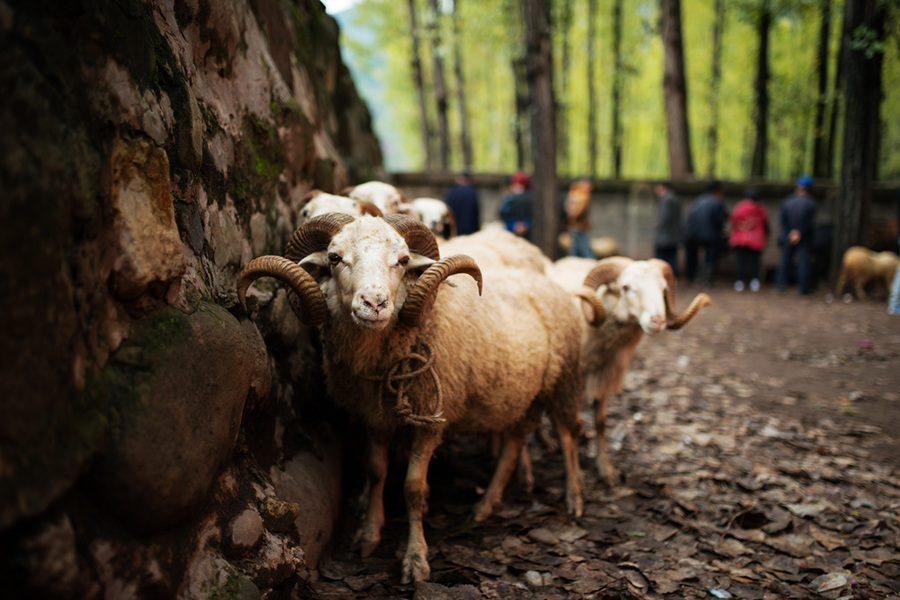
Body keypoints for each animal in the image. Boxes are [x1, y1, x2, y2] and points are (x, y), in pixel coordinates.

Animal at [239, 213, 592, 584]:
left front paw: (415, 558)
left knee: (568, 437)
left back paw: (573, 499)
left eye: (404, 260)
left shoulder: (430, 422)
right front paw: (368, 535)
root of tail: (546, 280)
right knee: (513, 444)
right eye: (335, 258)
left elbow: (412, 487)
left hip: (564, 381)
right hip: (519, 396)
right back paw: (486, 505)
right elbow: (377, 471)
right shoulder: (375, 417)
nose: (375, 304)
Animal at [544, 255, 712, 486]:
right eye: (625, 287)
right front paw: (577, 474)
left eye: (664, 288)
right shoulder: (573, 382)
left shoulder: (603, 378)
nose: (658, 321)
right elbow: (574, 424)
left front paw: (606, 470)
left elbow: (600, 422)